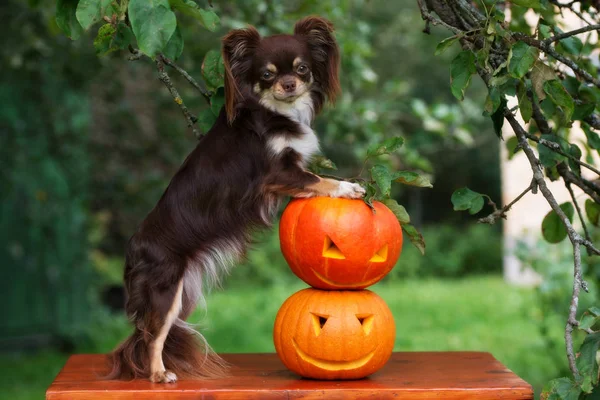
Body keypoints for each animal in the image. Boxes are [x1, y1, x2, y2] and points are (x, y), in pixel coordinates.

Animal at [108, 17, 366, 382]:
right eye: (267, 75)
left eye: (302, 69)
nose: (289, 84)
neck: (275, 112)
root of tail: (132, 248)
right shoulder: (276, 174)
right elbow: (320, 180)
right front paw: (347, 187)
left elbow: (314, 179)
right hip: (165, 290)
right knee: (152, 335)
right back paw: (158, 374)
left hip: (181, 293)